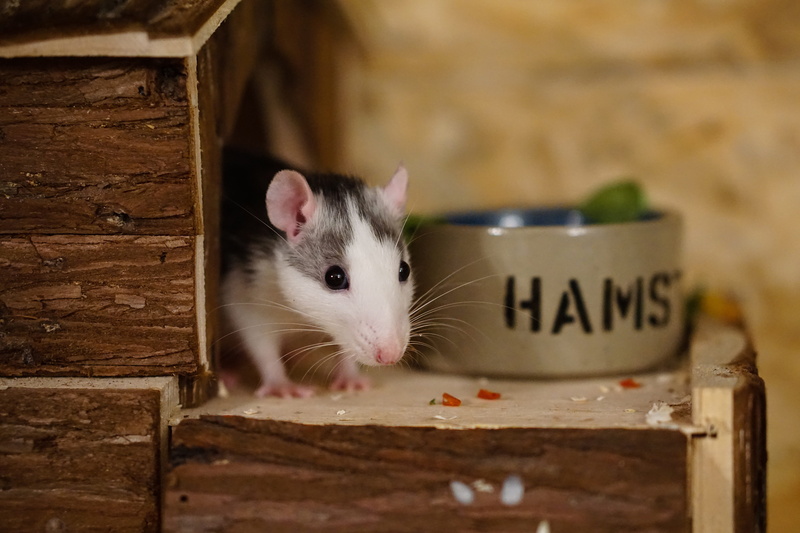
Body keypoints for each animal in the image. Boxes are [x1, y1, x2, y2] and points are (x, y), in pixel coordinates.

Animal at [220, 149, 414, 398]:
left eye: (404, 270)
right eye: (334, 278)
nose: (390, 354)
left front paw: (350, 376)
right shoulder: (248, 287)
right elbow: (258, 337)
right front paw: (280, 384)